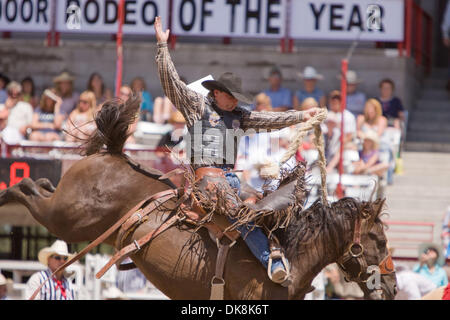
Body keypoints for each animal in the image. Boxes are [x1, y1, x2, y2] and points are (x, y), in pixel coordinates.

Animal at [0, 97, 396, 300]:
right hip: (67, 218)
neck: (293, 254)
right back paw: (6, 193)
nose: (391, 286)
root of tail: (114, 154)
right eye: (378, 239)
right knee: (27, 190)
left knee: (36, 186)